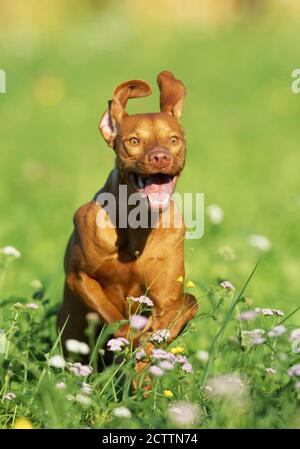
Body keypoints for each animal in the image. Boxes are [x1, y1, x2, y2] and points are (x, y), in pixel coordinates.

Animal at [58, 71, 199, 360]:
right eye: (134, 141)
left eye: (173, 139)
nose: (160, 157)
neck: (137, 225)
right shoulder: (80, 278)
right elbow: (116, 319)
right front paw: (135, 337)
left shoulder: (167, 294)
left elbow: (190, 302)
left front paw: (161, 331)